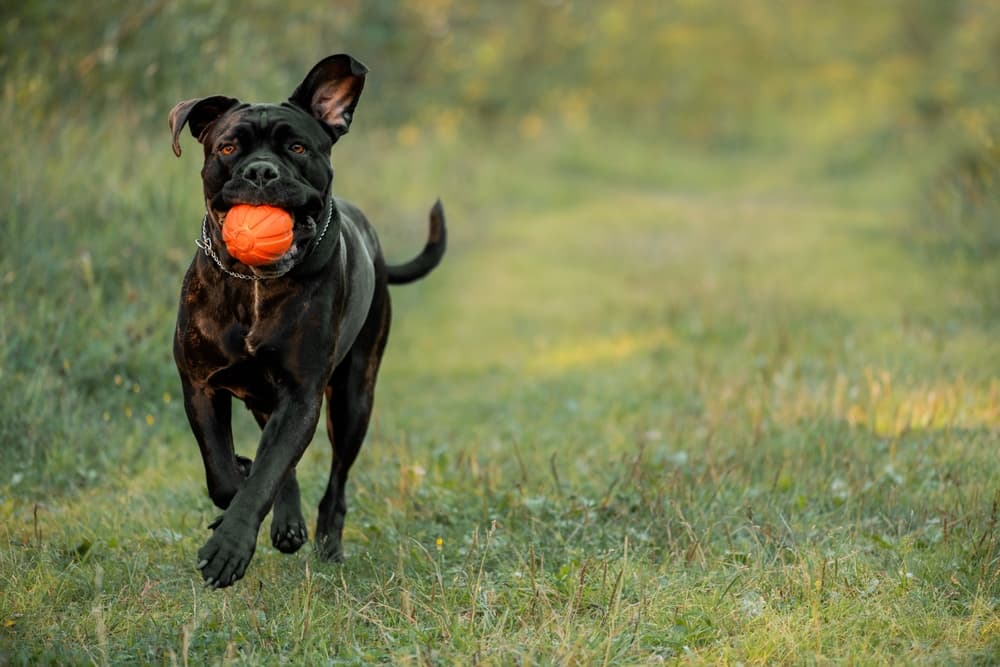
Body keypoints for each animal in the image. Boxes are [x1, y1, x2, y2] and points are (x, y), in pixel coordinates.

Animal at [167, 54, 446, 588]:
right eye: (228, 147)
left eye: (296, 147)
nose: (260, 171)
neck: (253, 284)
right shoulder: (202, 386)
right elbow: (225, 472)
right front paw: (238, 487)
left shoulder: (301, 395)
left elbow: (267, 472)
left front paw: (229, 547)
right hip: (267, 398)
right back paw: (287, 520)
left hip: (353, 398)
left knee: (335, 482)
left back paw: (327, 542)